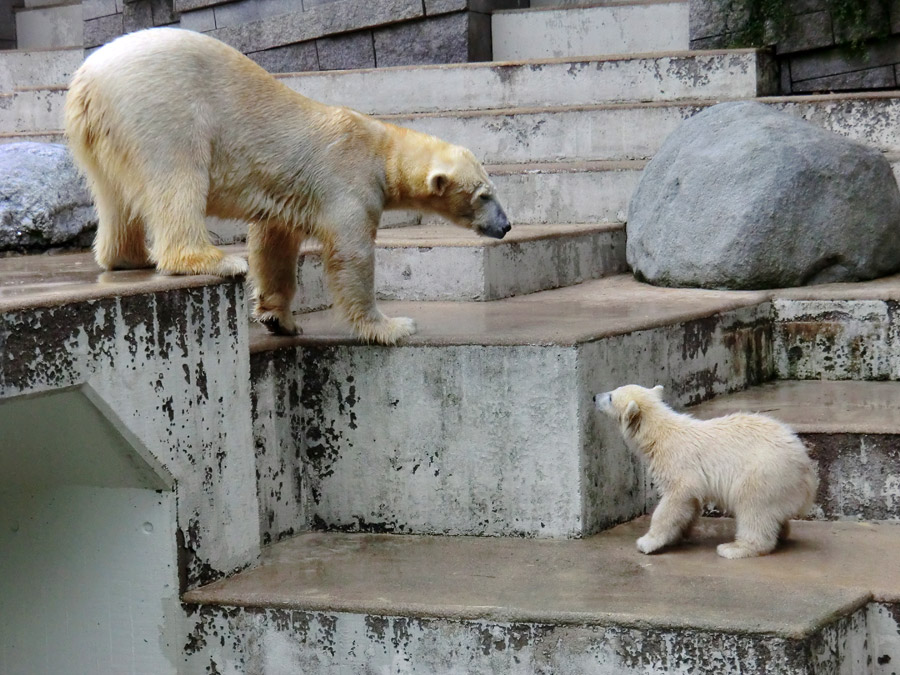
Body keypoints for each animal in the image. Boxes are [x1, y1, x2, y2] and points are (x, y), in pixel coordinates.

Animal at [66, 27, 510, 344]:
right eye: (483, 195)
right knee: (178, 176)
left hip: (100, 135)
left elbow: (274, 243)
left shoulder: (290, 198)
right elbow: (352, 254)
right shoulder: (347, 181)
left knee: (114, 196)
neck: (380, 148)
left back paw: (127, 257)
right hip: (160, 105)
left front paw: (279, 319)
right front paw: (392, 326)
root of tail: (88, 76)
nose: (505, 226)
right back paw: (213, 259)